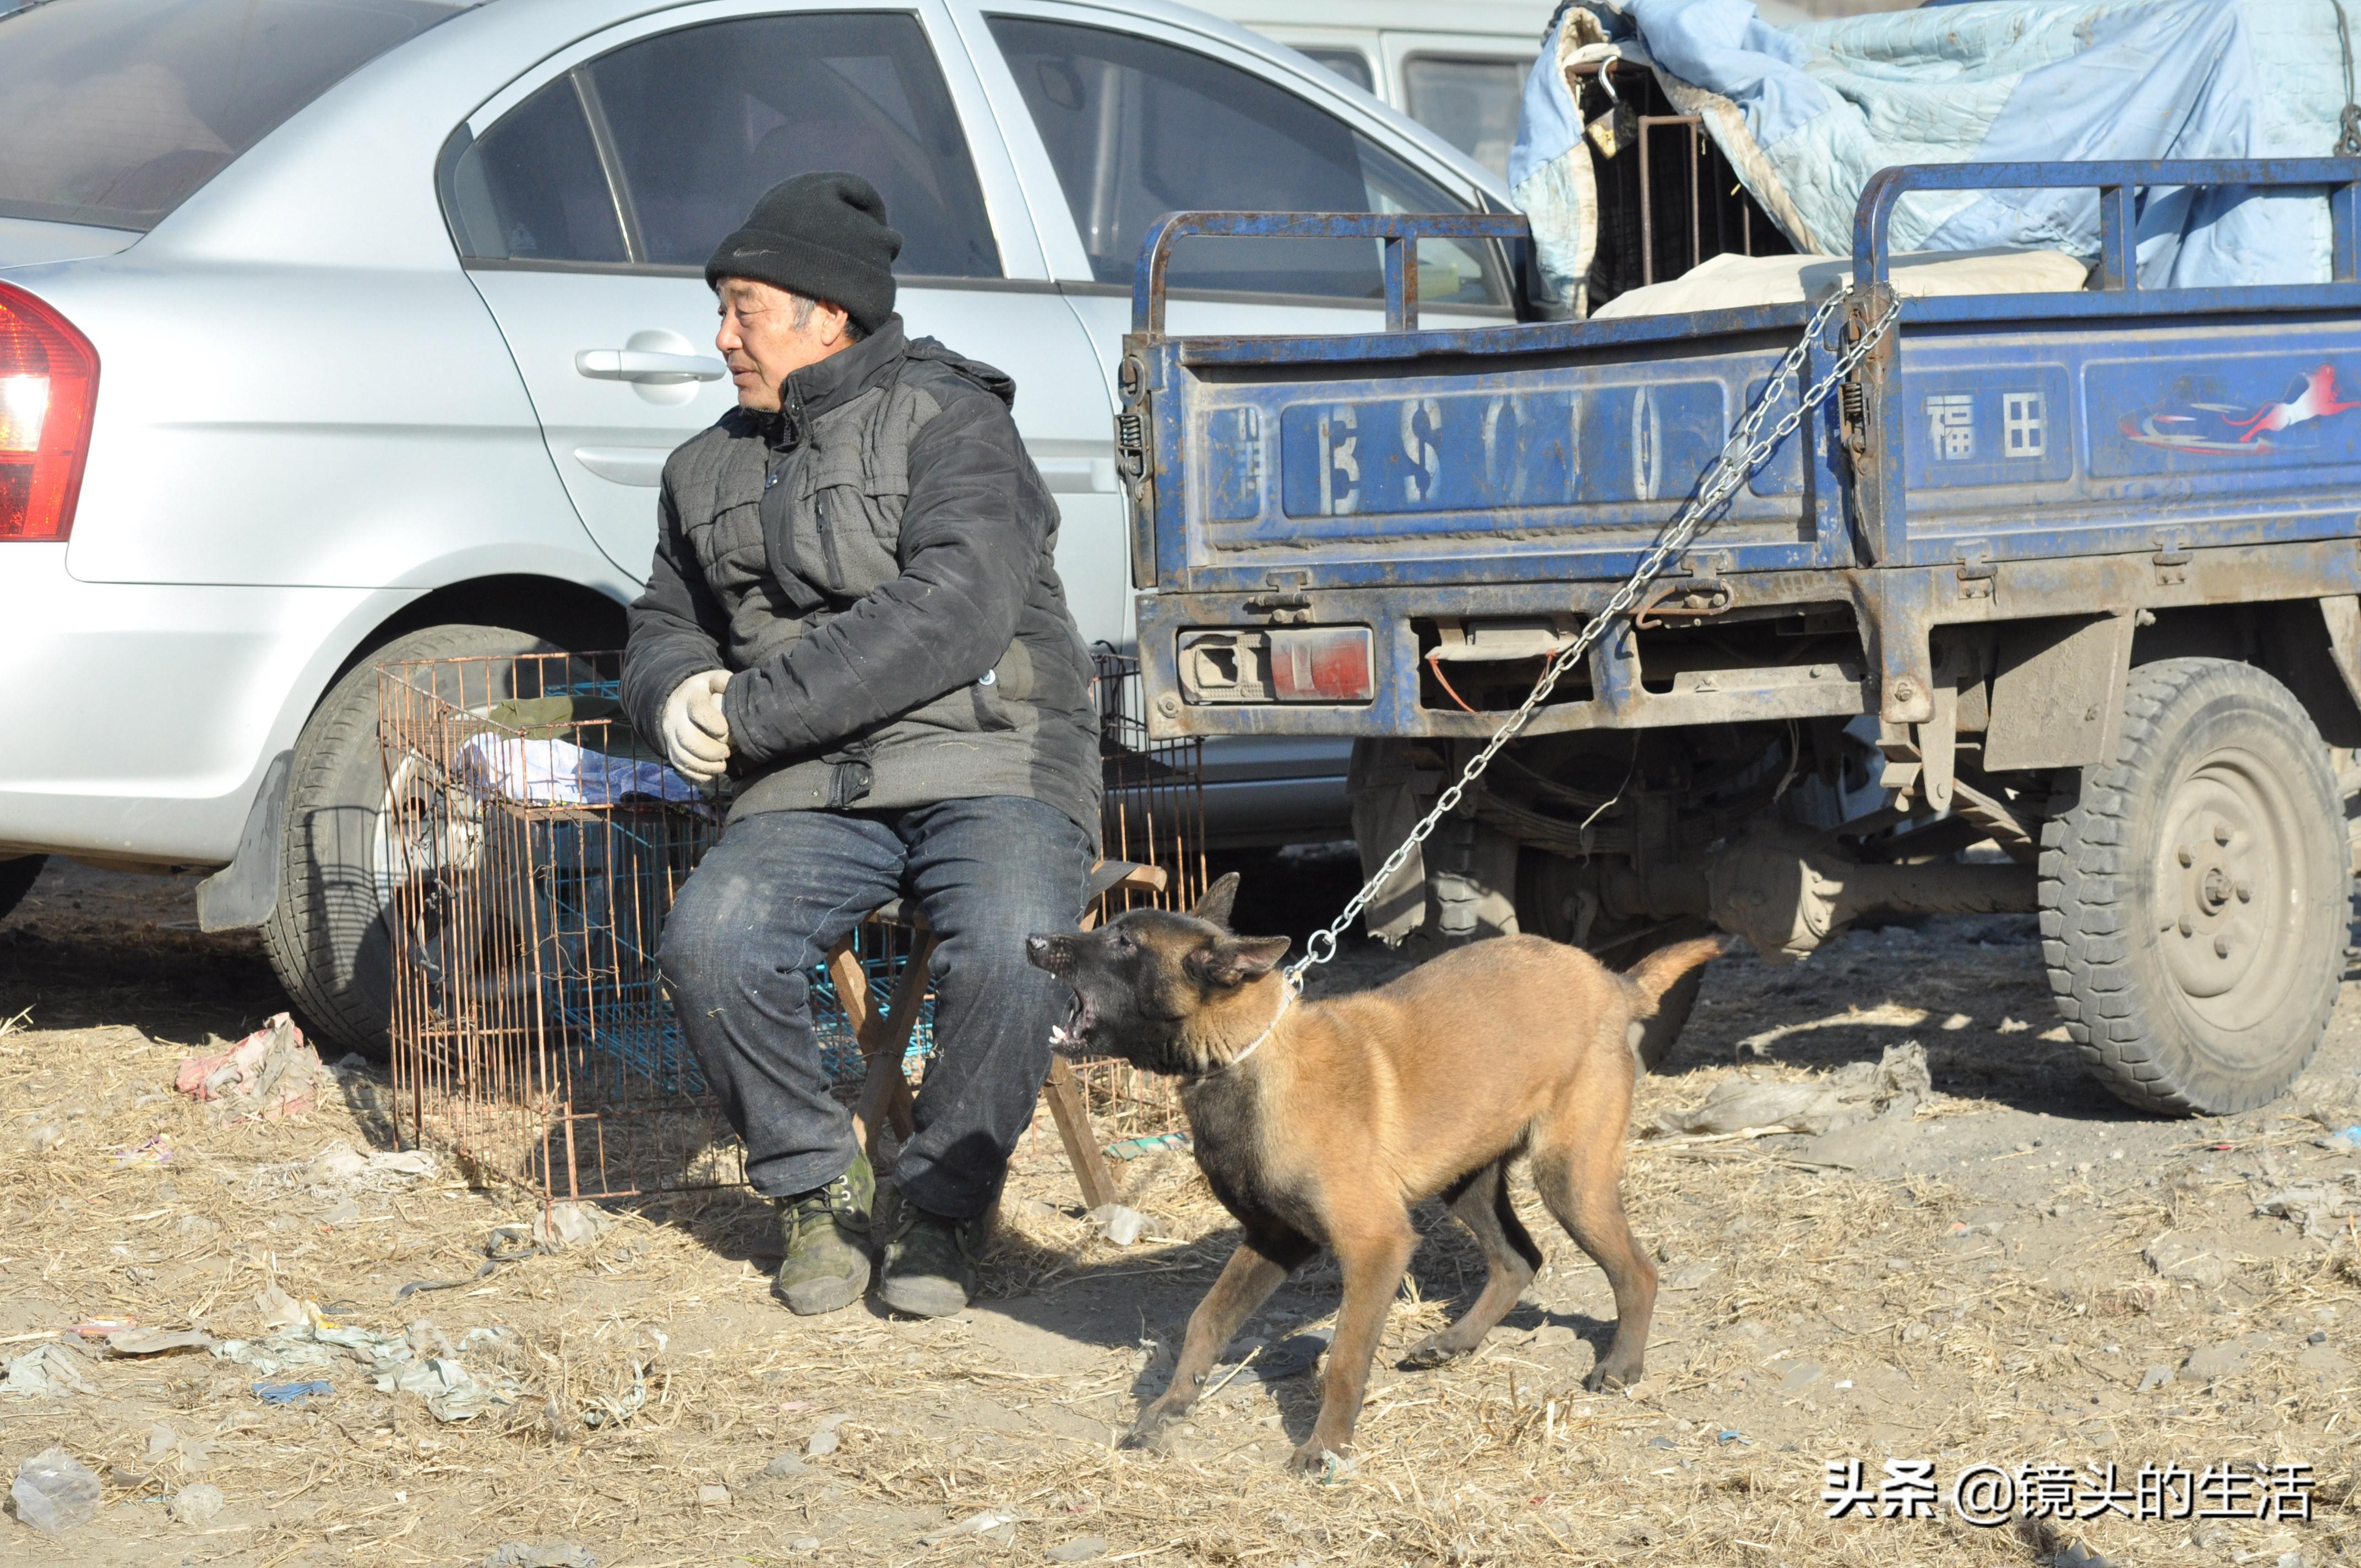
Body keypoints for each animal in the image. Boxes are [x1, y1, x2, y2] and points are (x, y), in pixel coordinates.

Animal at [1024, 873, 1728, 1473]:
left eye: (1123, 942)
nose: (1032, 941)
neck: (1244, 1060)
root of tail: (1612, 981)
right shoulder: (1274, 1239)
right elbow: (1205, 1321)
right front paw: (1168, 1408)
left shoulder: (1375, 1246)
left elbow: (1343, 1358)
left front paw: (1325, 1447)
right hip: (1466, 1180)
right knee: (1518, 1259)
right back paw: (1455, 1342)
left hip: (1569, 1178)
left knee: (1636, 1271)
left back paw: (1621, 1365)